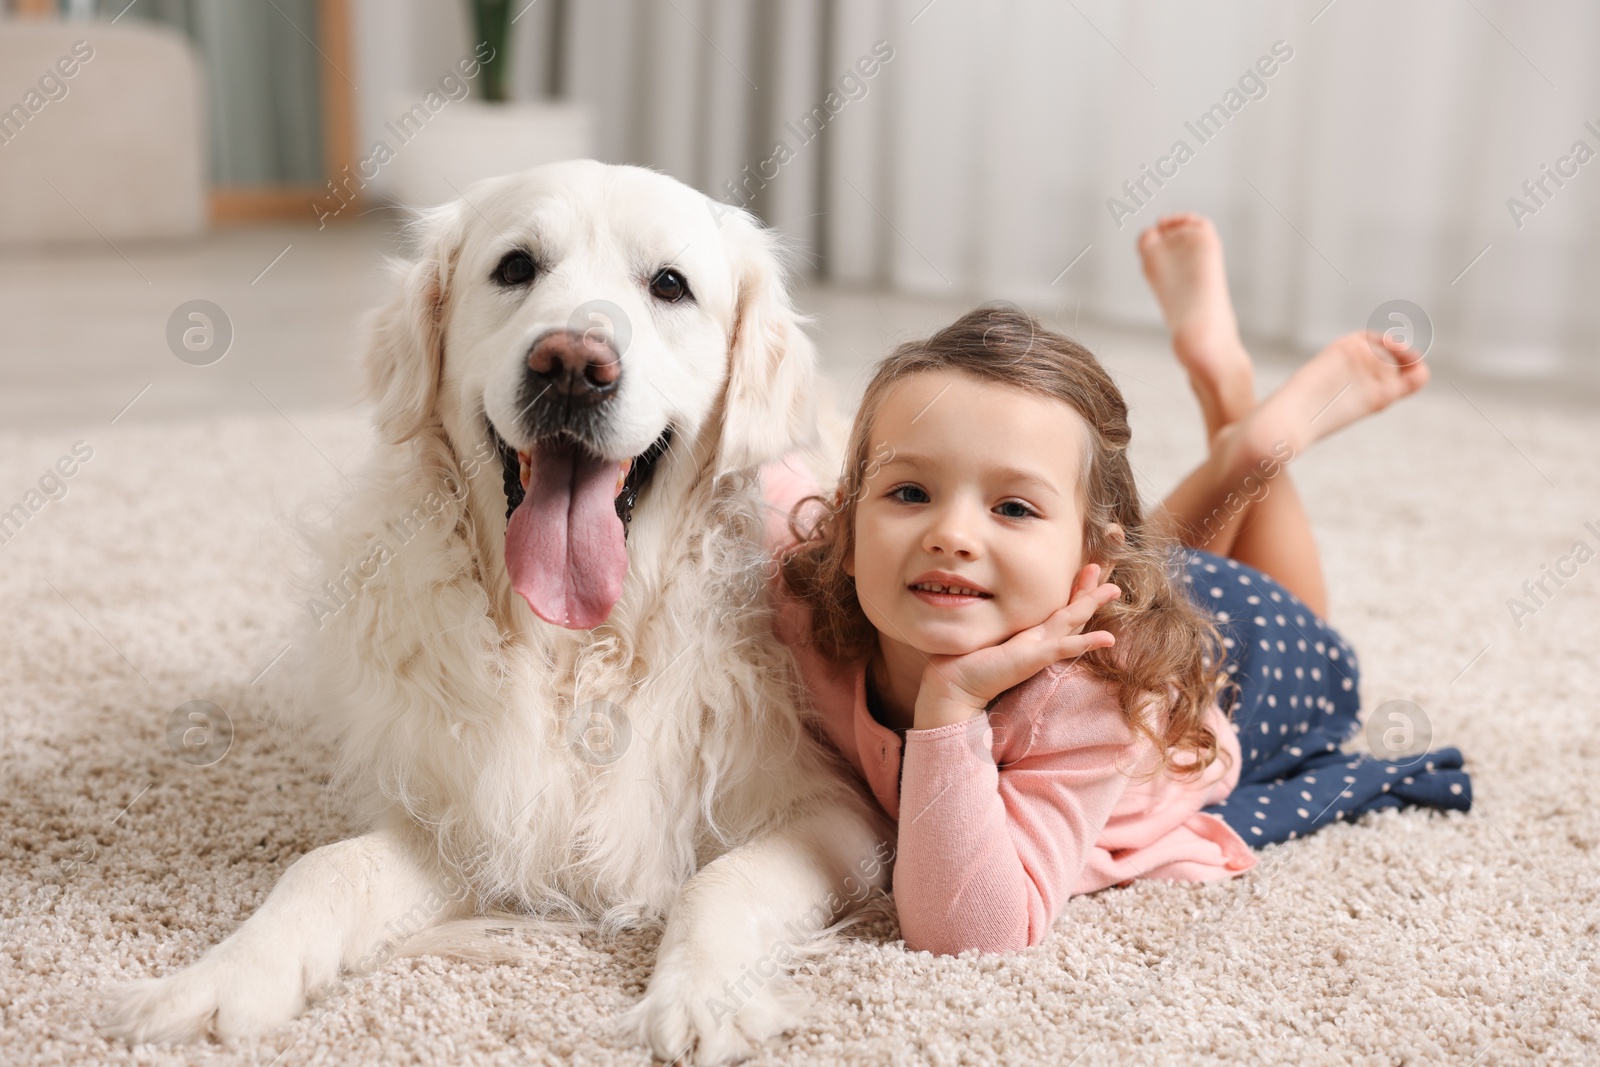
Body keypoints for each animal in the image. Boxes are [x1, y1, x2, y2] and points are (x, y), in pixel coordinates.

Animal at [98, 163, 896, 1062]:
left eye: (669, 285)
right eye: (516, 267)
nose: (572, 364)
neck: (575, 646)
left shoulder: (838, 815)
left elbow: (722, 879)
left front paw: (700, 998)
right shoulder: (467, 810)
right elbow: (324, 868)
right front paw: (217, 981)